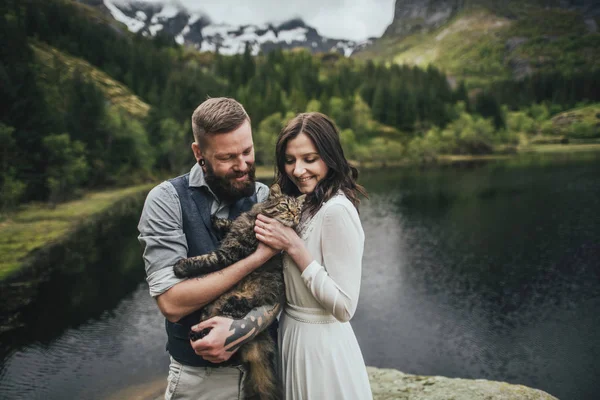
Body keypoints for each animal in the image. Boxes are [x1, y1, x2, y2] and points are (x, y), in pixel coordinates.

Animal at [172, 184, 304, 400]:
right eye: (285, 206)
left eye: (298, 210)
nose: (294, 216)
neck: (255, 219)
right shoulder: (241, 225)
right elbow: (232, 221)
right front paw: (218, 220)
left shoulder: (231, 253)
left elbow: (208, 259)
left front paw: (182, 266)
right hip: (209, 308)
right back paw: (198, 333)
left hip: (261, 291)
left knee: (247, 305)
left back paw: (229, 308)